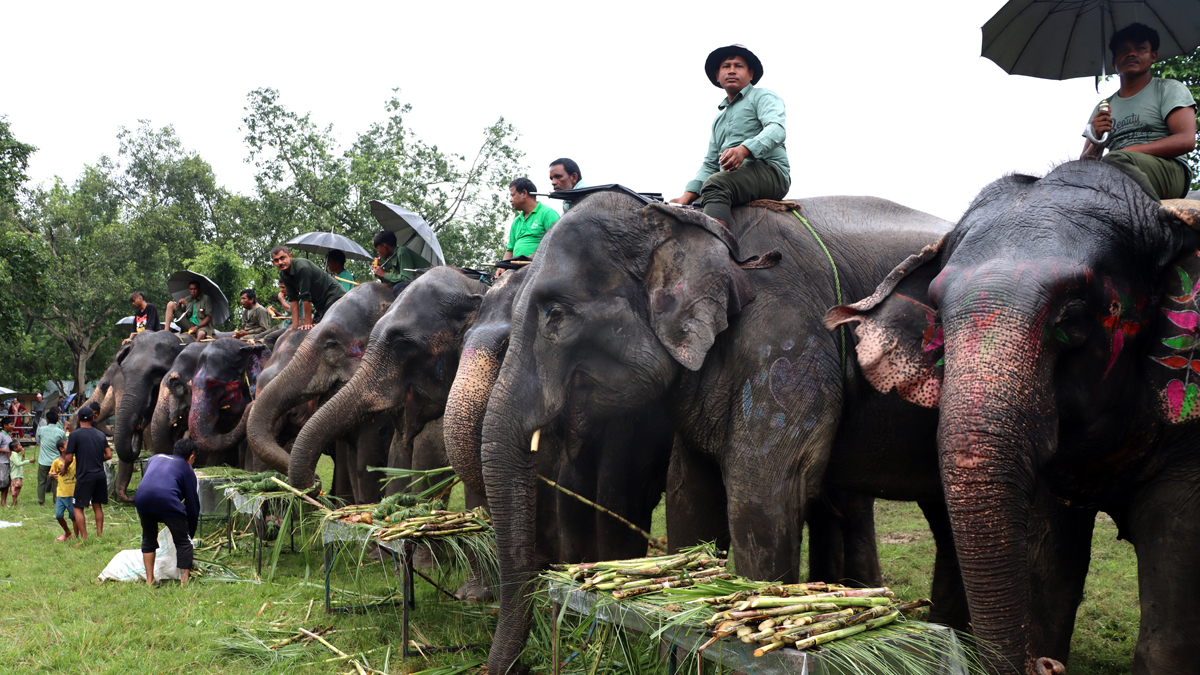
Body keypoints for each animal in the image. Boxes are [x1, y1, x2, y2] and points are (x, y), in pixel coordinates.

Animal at [472, 192, 969, 667]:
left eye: (556, 314)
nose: (517, 665)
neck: (683, 222)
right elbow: (690, 496)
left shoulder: (787, 345)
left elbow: (763, 499)